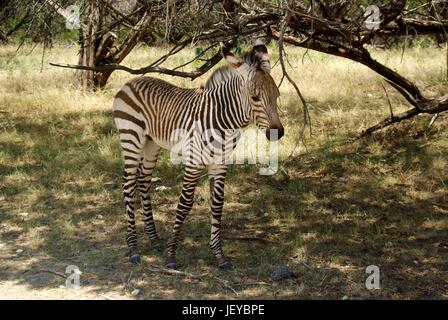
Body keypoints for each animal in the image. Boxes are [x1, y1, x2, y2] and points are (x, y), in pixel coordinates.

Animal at [114, 40, 286, 270]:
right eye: (255, 98)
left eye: (277, 96)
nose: (278, 133)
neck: (224, 121)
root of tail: (132, 81)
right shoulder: (193, 162)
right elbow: (185, 204)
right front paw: (171, 255)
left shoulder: (220, 163)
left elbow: (218, 203)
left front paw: (219, 255)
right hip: (131, 138)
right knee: (128, 183)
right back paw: (133, 247)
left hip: (152, 143)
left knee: (143, 181)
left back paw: (154, 239)